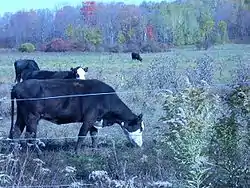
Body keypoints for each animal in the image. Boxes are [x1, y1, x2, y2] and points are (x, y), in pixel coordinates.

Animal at [8, 78, 145, 153]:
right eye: (140, 128)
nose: (140, 145)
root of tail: (17, 86)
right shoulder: (89, 119)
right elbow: (82, 135)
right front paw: (77, 153)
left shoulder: (95, 120)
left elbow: (94, 136)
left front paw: (95, 150)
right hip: (32, 117)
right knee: (30, 136)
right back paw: (39, 154)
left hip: (21, 115)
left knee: (16, 132)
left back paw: (14, 153)